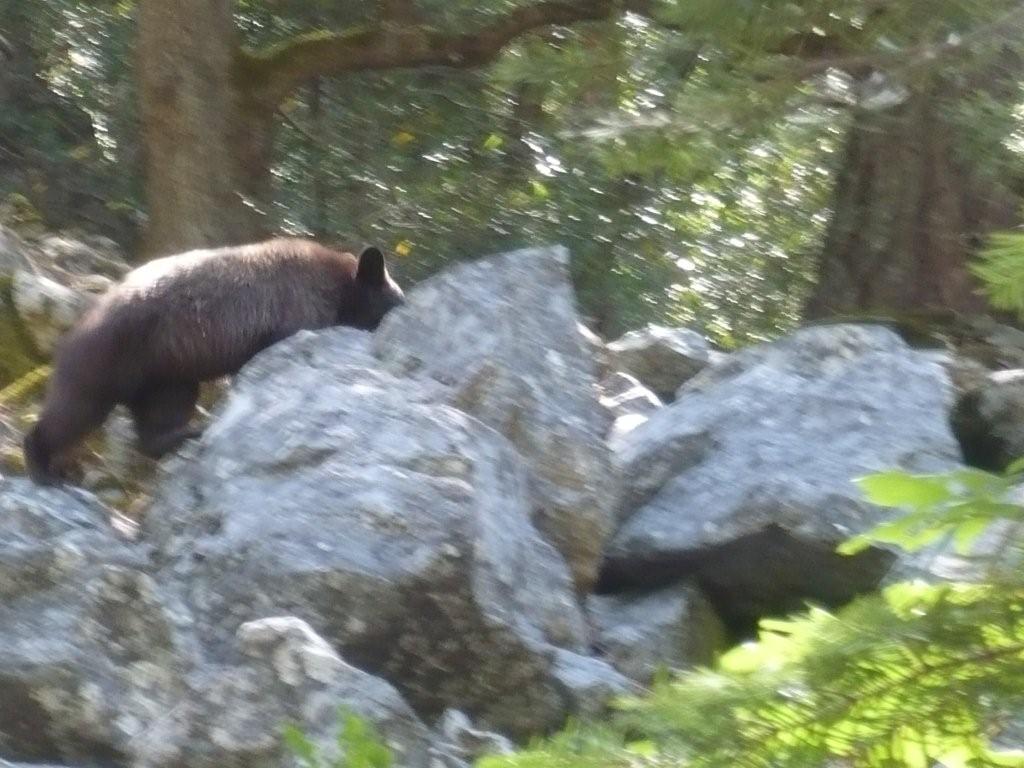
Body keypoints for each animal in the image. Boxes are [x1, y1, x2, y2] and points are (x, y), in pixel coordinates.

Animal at [23, 237, 403, 483]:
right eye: (397, 299)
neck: (340, 287)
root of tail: (79, 324)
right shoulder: (299, 306)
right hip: (113, 356)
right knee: (76, 408)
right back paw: (42, 463)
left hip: (165, 370)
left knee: (164, 408)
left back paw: (182, 434)